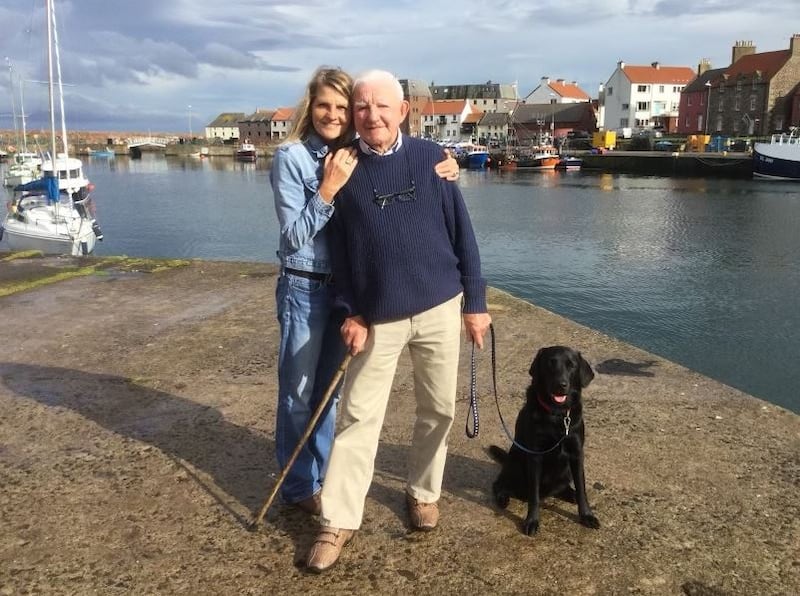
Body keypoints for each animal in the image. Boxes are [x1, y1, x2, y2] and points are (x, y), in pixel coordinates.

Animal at [488, 344, 600, 536]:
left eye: (571, 365)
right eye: (550, 363)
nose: (561, 385)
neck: (557, 414)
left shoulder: (577, 454)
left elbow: (582, 489)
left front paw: (587, 515)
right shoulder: (535, 455)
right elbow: (534, 495)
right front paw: (532, 521)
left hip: (565, 470)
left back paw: (569, 493)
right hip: (515, 461)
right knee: (500, 483)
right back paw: (503, 498)